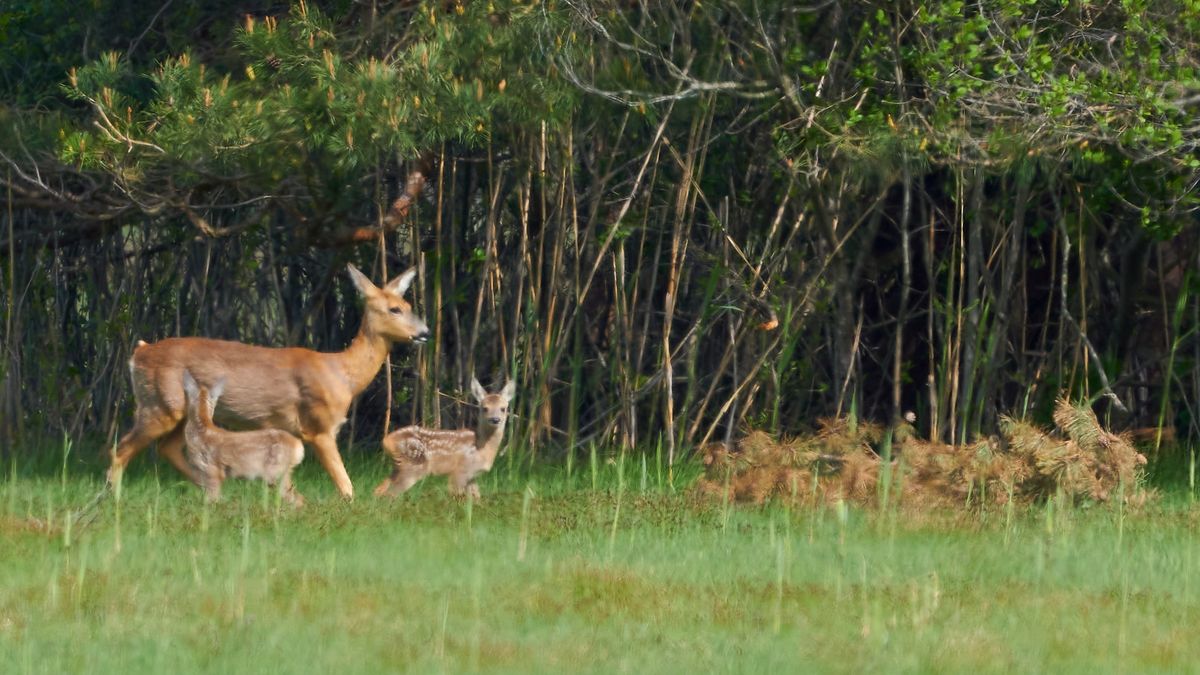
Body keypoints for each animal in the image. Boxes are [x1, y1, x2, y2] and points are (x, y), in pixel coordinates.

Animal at [182, 367, 307, 504]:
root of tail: (298, 448)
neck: (202, 431)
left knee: (295, 497)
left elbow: (212, 499)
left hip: (276, 472)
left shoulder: (212, 470)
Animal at [374, 374, 516, 497]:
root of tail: (387, 440)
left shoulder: (472, 476)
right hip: (413, 466)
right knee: (390, 494)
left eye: (503, 408)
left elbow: (476, 498)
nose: (495, 419)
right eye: (485, 408)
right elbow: (456, 495)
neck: (482, 448)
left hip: (399, 466)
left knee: (379, 490)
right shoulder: (460, 470)